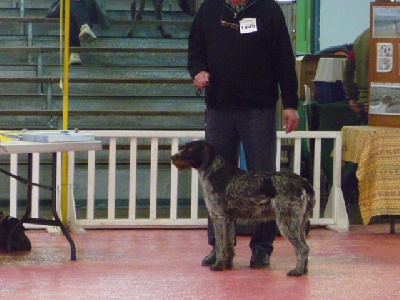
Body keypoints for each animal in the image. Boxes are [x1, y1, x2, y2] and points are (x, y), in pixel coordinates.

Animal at [172, 141, 316, 276]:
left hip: (287, 222)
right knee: (306, 247)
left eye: (190, 149)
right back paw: (304, 270)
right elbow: (229, 244)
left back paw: (297, 271)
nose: (173, 157)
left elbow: (220, 245)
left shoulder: (219, 218)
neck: (214, 170)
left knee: (302, 248)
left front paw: (218, 265)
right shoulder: (229, 220)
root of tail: (304, 182)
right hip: (300, 223)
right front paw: (227, 264)